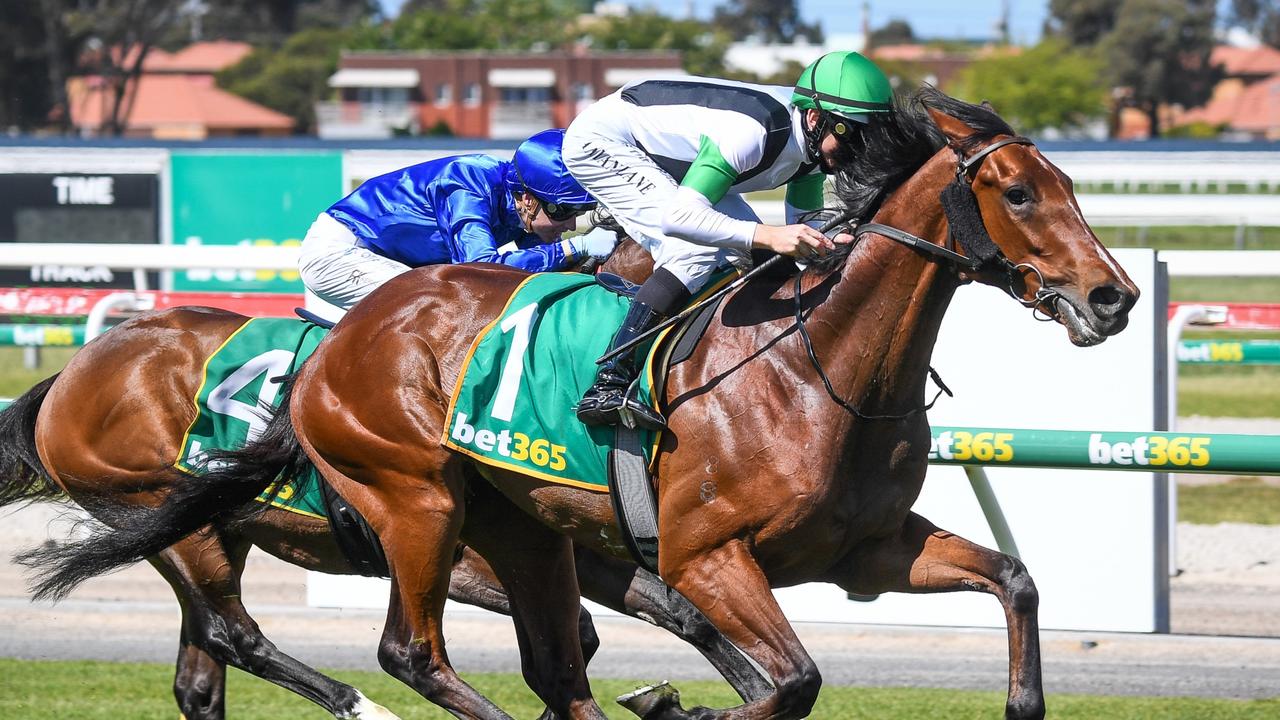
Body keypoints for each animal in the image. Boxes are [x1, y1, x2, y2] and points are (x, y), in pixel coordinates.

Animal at [12, 89, 1131, 717]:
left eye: (1073, 186)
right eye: (1018, 194)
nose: (1111, 295)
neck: (814, 372)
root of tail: (72, 374)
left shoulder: (864, 553)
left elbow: (1015, 582)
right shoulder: (702, 556)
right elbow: (784, 681)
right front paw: (689, 706)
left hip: (509, 530)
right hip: (388, 510)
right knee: (376, 649)